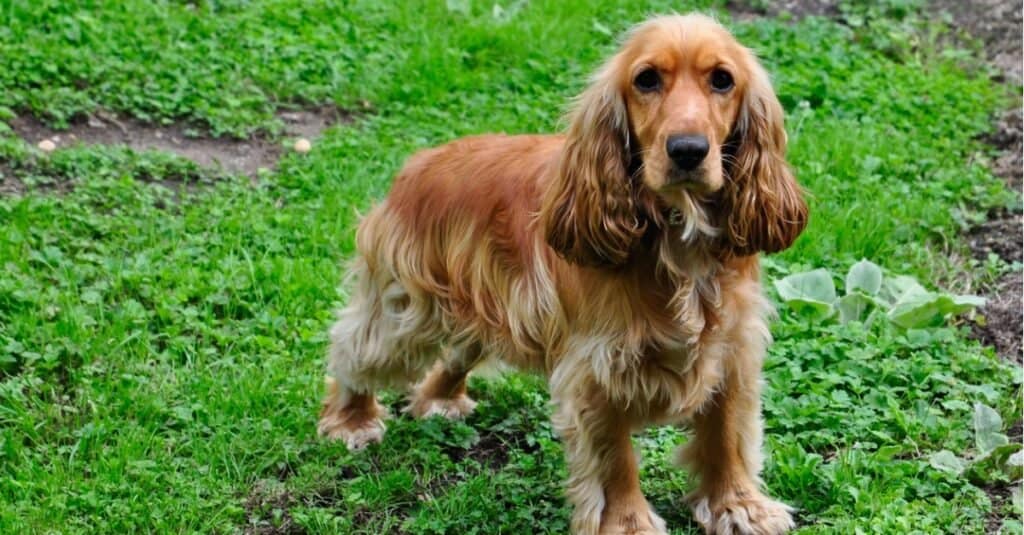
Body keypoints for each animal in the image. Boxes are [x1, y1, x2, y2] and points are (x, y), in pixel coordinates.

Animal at [319, 13, 806, 532]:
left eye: (722, 80)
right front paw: (627, 522)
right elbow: (614, 457)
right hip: (405, 309)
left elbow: (726, 433)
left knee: (457, 350)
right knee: (353, 351)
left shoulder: (733, 346)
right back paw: (351, 420)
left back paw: (439, 401)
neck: (678, 235)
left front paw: (738, 506)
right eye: (646, 79)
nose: (688, 150)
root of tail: (417, 163)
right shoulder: (597, 365)